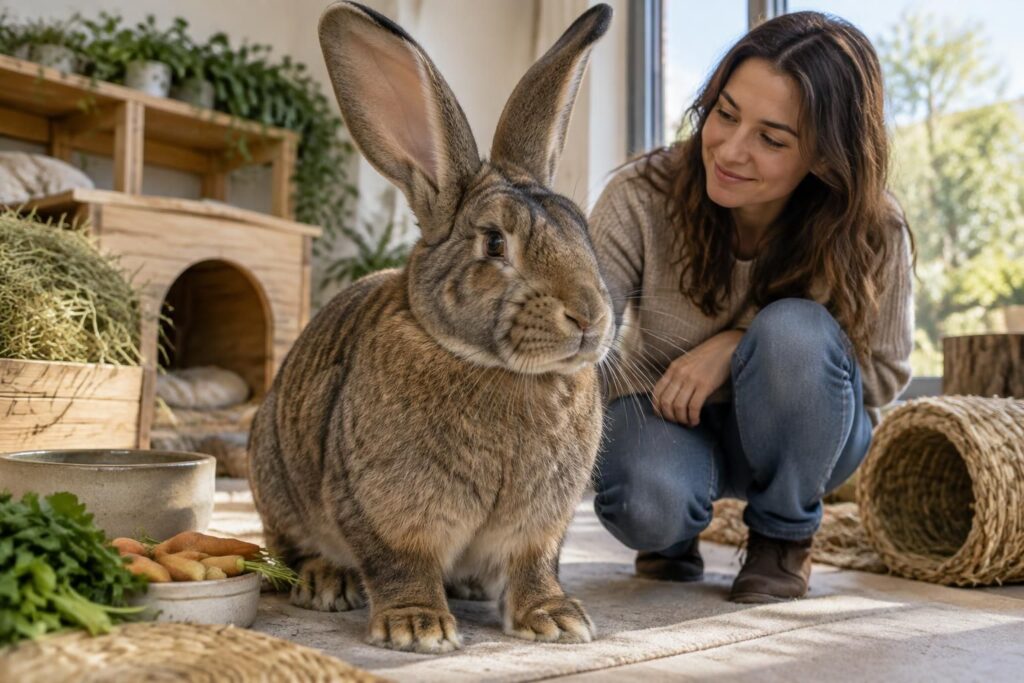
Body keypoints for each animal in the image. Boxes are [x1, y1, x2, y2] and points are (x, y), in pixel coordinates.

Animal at [248, 1, 615, 654]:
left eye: (581, 229)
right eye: (493, 242)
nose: (589, 317)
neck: (492, 366)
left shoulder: (541, 524)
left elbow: (534, 564)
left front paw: (557, 619)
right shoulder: (384, 509)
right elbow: (401, 561)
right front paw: (416, 627)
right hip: (275, 476)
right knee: (286, 548)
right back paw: (326, 582)